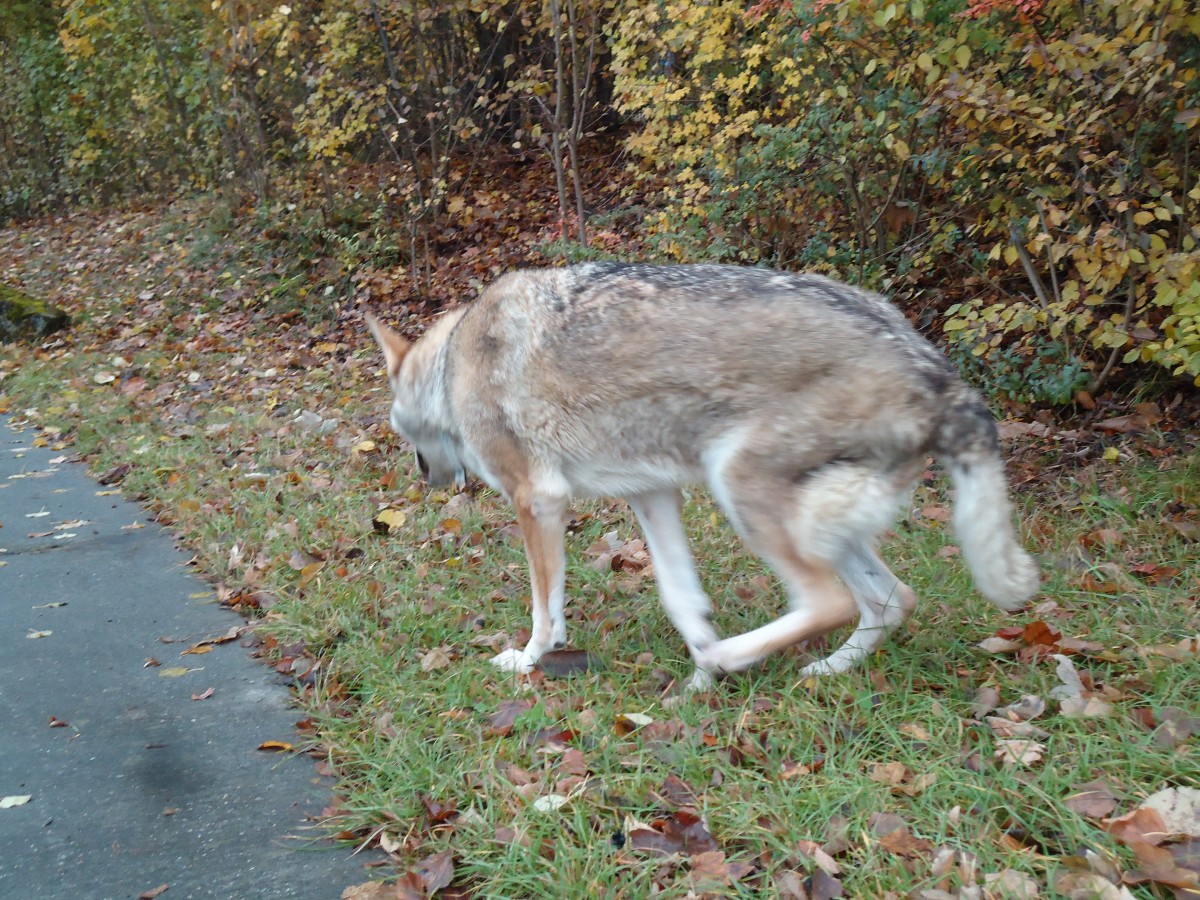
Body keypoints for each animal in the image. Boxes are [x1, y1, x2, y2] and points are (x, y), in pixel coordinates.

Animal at [367, 263, 1039, 691]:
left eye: (400, 428)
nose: (422, 477)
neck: (451, 363)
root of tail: (935, 369)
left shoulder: (540, 502)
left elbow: (545, 614)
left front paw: (527, 662)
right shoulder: (653, 495)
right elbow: (679, 594)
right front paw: (697, 673)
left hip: (739, 487)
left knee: (830, 600)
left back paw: (734, 654)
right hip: (818, 521)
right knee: (891, 597)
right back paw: (824, 670)